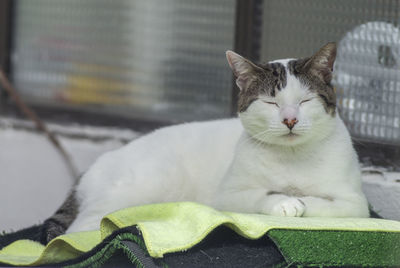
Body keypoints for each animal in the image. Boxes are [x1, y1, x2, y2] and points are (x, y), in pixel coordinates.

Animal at [43, 42, 368, 243]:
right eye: (271, 102)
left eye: (305, 101)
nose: (290, 120)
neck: (292, 157)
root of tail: (95, 165)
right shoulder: (228, 196)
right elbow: (262, 196)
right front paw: (286, 201)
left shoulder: (356, 204)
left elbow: (324, 204)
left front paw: (297, 199)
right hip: (141, 187)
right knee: (77, 230)